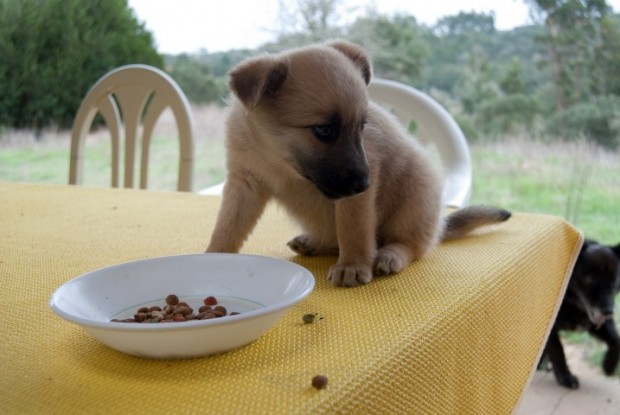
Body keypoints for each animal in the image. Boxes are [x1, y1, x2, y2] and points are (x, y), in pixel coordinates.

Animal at [536, 239, 620, 388]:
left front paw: (608, 366)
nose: (609, 312)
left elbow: (616, 339)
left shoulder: (593, 324)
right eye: (591, 279)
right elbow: (558, 350)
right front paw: (566, 377)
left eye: (615, 280)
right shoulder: (550, 328)